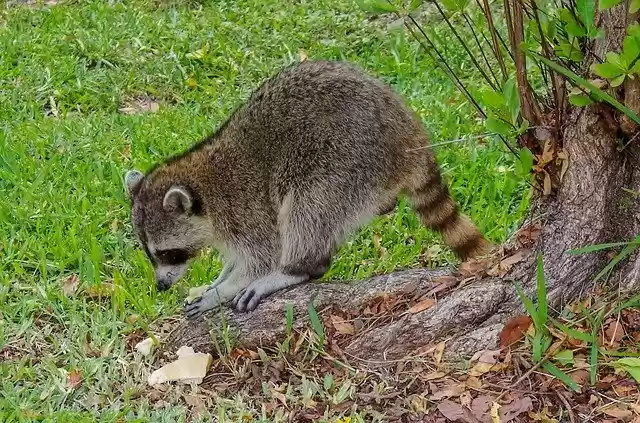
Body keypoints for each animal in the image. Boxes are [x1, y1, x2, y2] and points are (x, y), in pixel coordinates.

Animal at [124, 60, 492, 319]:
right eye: (151, 254)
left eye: (167, 253)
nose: (160, 286)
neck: (202, 184)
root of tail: (410, 134)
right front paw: (219, 278)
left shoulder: (244, 207)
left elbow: (262, 255)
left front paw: (227, 287)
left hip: (349, 159)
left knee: (307, 204)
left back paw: (298, 268)